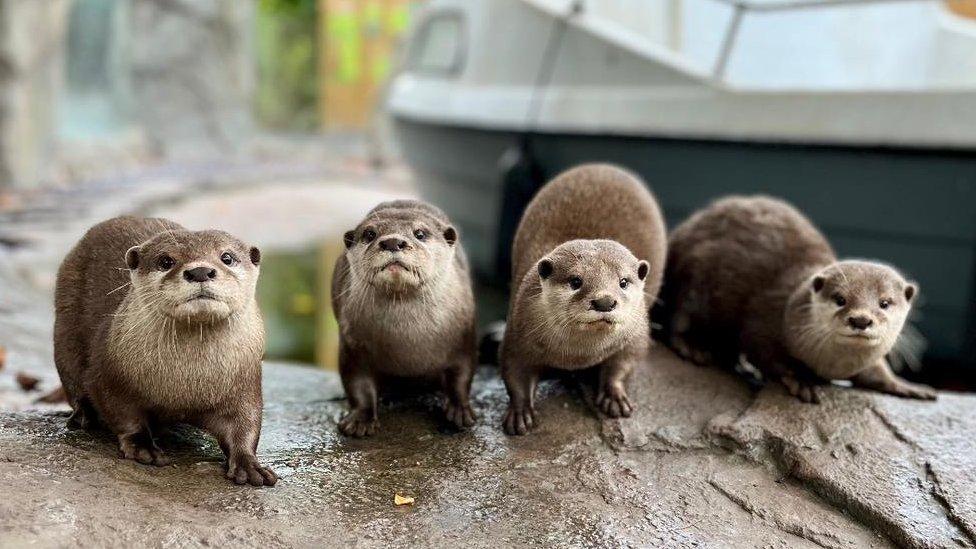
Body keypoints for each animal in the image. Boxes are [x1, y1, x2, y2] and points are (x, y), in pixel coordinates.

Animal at [53, 216, 276, 486]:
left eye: (227, 257)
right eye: (166, 261)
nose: (200, 271)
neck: (184, 385)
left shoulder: (244, 383)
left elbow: (245, 423)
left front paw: (249, 465)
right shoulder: (107, 374)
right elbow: (122, 413)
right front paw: (142, 445)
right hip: (65, 332)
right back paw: (83, 416)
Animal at [332, 199, 476, 434]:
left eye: (420, 233)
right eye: (370, 234)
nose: (392, 242)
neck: (407, 342)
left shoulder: (462, 338)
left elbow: (461, 376)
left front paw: (460, 412)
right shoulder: (353, 346)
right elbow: (358, 384)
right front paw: (360, 420)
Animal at [500, 165, 668, 434]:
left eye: (623, 281)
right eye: (576, 281)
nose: (604, 302)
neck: (578, 357)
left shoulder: (637, 333)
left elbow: (626, 362)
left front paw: (614, 396)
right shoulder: (517, 329)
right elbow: (514, 371)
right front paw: (519, 413)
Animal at [660, 197, 936, 402]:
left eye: (884, 303)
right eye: (840, 299)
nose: (860, 320)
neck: (832, 365)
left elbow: (876, 372)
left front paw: (907, 386)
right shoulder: (764, 323)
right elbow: (766, 352)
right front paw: (803, 379)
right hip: (693, 282)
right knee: (679, 318)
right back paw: (694, 347)